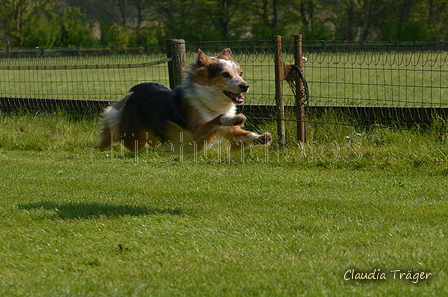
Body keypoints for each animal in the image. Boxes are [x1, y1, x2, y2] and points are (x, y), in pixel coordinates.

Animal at [98, 47, 272, 154]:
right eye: (225, 74)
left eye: (240, 73)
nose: (245, 86)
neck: (209, 101)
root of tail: (135, 89)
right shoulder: (198, 132)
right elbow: (217, 119)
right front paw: (235, 118)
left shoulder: (230, 133)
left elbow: (244, 134)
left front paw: (261, 137)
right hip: (132, 136)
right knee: (115, 124)